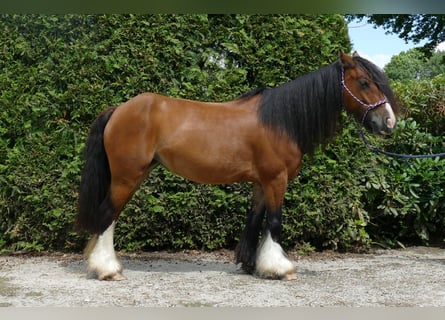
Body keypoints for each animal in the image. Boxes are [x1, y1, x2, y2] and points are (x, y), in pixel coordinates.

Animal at [75, 52, 396, 280]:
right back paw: (107, 270)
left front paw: (251, 264)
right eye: (364, 82)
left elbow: (254, 221)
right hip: (127, 177)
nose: (389, 122)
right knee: (107, 215)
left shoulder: (261, 183)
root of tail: (119, 109)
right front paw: (280, 269)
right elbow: (274, 222)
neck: (280, 121)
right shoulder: (276, 180)